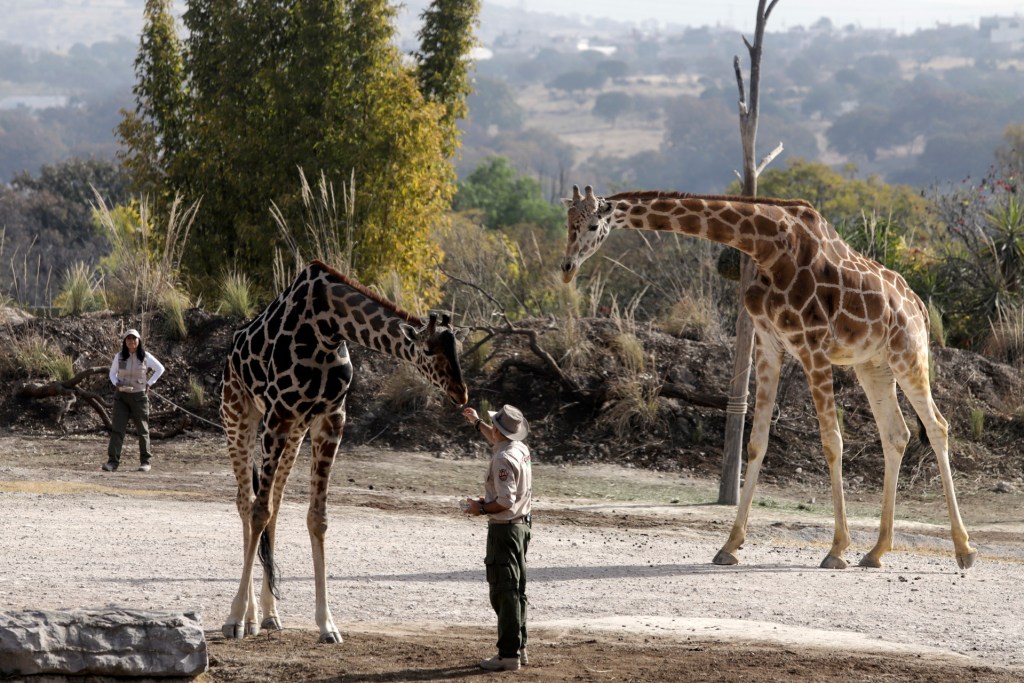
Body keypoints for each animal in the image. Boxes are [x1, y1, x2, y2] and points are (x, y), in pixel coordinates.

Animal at [220, 260, 468, 643]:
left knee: (274, 502)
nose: (461, 392)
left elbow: (317, 518)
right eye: (428, 351)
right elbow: (259, 511)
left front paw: (327, 624)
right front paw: (234, 618)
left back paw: (269, 615)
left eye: (458, 350)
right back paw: (246, 617)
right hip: (238, 414)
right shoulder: (278, 413)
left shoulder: (330, 418)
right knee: (246, 503)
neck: (328, 326)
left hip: (295, 431)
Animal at [561, 185, 977, 571]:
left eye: (593, 225)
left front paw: (837, 549)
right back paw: (876, 551)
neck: (765, 245)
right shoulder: (768, 342)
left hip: (908, 354)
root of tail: (919, 306)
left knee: (937, 426)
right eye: (569, 223)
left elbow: (832, 443)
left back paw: (964, 550)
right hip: (872, 365)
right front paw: (730, 545)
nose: (566, 267)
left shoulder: (812, 347)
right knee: (897, 434)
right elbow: (756, 442)